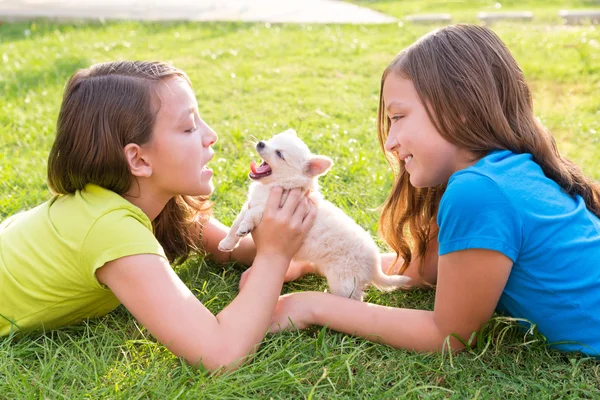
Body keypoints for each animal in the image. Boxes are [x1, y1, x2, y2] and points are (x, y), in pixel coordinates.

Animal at [218, 128, 410, 300]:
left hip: (343, 282)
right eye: (272, 140)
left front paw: (245, 227)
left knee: (355, 298)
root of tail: (375, 266)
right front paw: (227, 243)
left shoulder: (269, 209)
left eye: (279, 154)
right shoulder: (249, 205)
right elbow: (235, 224)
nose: (261, 143)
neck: (273, 187)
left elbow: (251, 215)